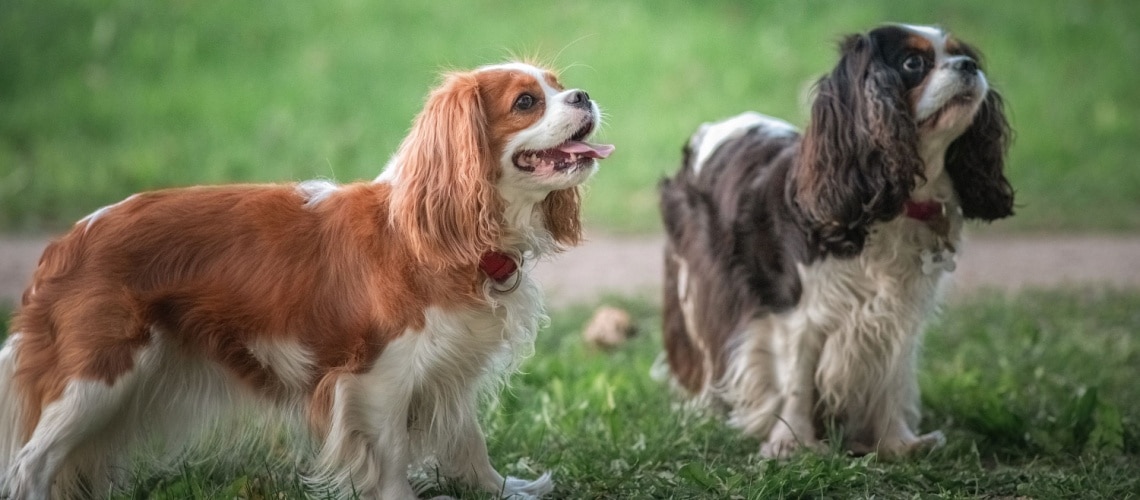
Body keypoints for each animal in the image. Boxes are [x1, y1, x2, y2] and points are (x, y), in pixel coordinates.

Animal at [0, 62, 615, 500]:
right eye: (526, 102)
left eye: (559, 86)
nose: (584, 94)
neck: (447, 237)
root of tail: (67, 242)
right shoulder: (378, 377)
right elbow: (391, 453)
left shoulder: (447, 369)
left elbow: (468, 441)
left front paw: (502, 490)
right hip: (97, 375)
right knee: (30, 465)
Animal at [661, 26, 1016, 457]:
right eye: (913, 63)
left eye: (962, 54)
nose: (970, 66)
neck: (896, 203)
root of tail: (714, 128)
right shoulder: (796, 313)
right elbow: (795, 382)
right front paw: (791, 444)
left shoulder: (897, 313)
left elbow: (891, 377)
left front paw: (897, 444)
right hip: (699, 284)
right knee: (702, 350)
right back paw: (701, 410)